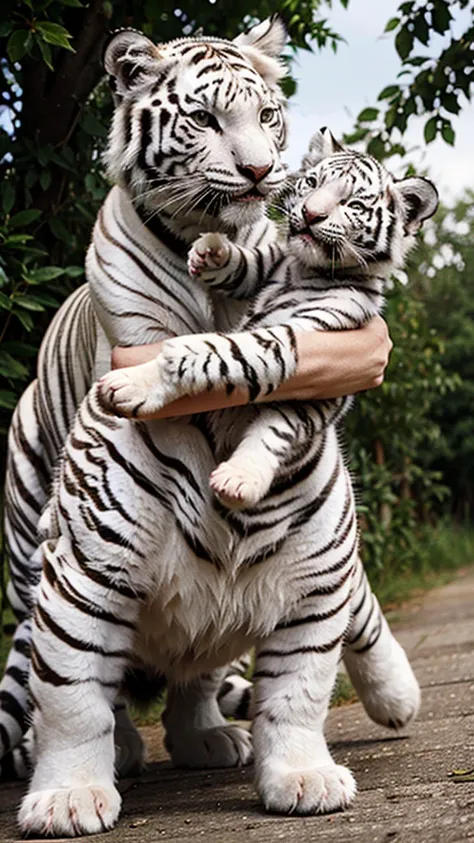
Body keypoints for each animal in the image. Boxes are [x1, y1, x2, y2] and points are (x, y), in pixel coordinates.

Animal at [17, 115, 430, 836]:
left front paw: (304, 779)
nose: (310, 215)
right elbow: (72, 698)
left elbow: (294, 697)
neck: (306, 271)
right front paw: (68, 796)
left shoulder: (308, 343)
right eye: (312, 184)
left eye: (354, 204)